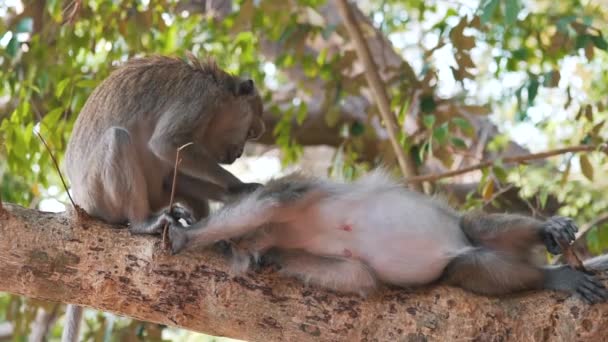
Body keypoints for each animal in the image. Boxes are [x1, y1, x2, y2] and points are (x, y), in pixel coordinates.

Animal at [61, 53, 266, 342]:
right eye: (249, 133)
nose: (238, 154)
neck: (216, 85)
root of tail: (80, 200)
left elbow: (172, 171)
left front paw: (235, 194)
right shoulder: (199, 99)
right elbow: (166, 143)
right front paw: (240, 185)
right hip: (97, 194)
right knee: (117, 138)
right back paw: (143, 224)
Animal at [158, 170, 608, 304]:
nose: (235, 246)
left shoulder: (297, 192)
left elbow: (273, 200)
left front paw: (186, 236)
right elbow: (360, 277)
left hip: (464, 230)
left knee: (475, 228)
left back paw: (548, 236)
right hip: (465, 257)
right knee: (469, 263)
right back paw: (553, 277)